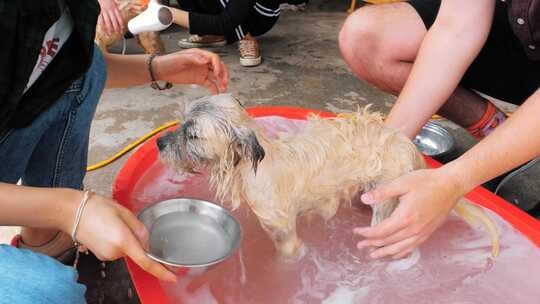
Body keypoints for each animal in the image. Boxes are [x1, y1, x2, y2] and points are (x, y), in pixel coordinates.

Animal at [155, 95, 498, 258]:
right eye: (180, 122)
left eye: (192, 135)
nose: (159, 143)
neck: (254, 165)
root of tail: (408, 146)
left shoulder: (285, 234)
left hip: (386, 204)